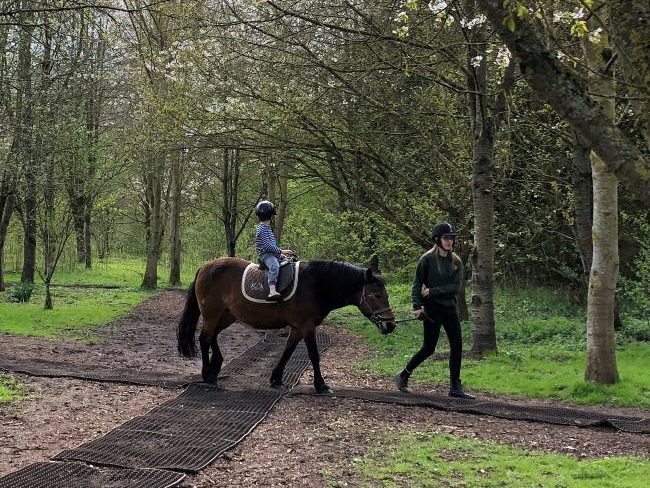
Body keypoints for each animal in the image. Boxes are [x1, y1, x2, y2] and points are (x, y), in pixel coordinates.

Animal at [175, 258, 394, 394]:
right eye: (375, 296)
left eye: (386, 295)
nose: (390, 325)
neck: (316, 285)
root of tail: (205, 267)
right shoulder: (307, 327)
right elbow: (314, 355)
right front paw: (321, 385)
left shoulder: (298, 328)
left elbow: (287, 352)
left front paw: (276, 379)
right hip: (212, 314)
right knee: (204, 338)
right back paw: (207, 374)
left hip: (227, 316)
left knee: (211, 336)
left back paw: (215, 367)